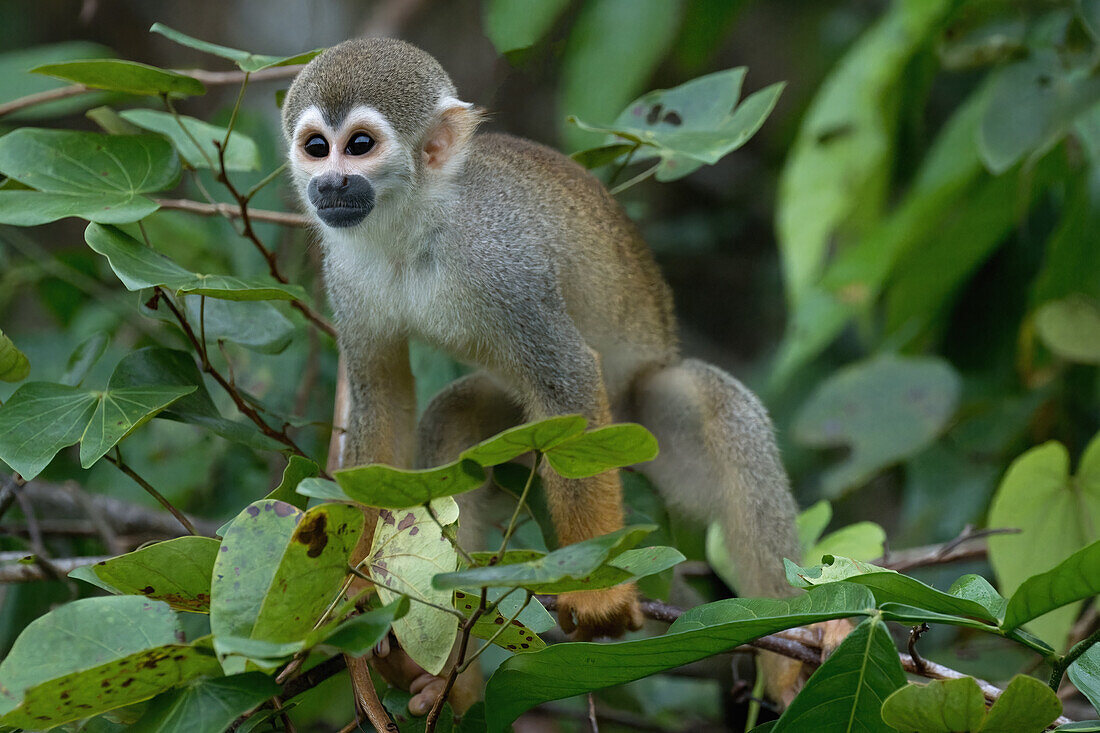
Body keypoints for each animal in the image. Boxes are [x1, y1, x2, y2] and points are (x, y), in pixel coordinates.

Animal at [279, 35, 805, 708]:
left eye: (360, 145)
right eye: (317, 147)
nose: (329, 183)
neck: (414, 222)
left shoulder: (505, 263)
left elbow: (570, 382)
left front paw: (596, 591)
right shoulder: (344, 270)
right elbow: (383, 398)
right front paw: (359, 593)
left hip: (639, 428)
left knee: (718, 409)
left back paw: (794, 648)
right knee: (454, 421)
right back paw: (449, 679)